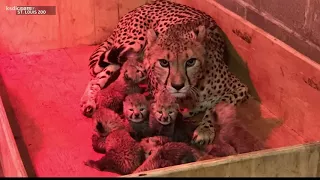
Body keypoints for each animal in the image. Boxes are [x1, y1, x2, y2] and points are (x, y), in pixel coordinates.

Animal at [79, 0, 249, 146]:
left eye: (191, 61)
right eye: (164, 62)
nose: (177, 85)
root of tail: (144, 5)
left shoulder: (240, 88)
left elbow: (214, 107)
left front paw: (204, 129)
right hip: (129, 45)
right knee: (96, 77)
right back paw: (88, 102)